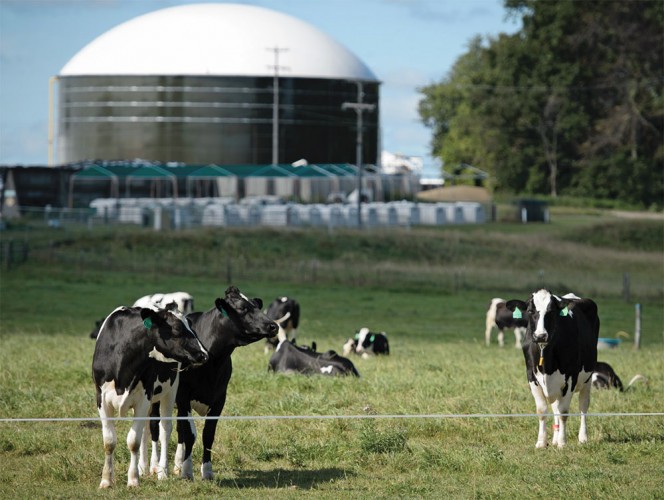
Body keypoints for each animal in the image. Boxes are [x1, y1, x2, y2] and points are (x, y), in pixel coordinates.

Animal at [89, 306, 206, 486]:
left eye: (191, 328)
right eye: (177, 330)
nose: (204, 354)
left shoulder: (143, 398)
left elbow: (133, 441)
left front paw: (133, 480)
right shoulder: (101, 399)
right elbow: (109, 441)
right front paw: (107, 480)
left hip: (170, 391)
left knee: (165, 429)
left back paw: (162, 471)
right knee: (146, 430)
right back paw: (144, 467)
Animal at [145, 288, 278, 482]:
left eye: (256, 305)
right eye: (243, 308)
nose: (273, 326)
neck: (213, 359)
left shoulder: (220, 398)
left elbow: (207, 434)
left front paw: (206, 471)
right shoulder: (183, 396)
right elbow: (190, 434)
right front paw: (187, 471)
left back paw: (176, 465)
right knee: (155, 426)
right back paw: (154, 466)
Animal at [506, 290, 600, 450]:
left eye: (551, 311)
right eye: (530, 311)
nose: (540, 335)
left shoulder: (571, 377)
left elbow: (563, 412)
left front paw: (562, 442)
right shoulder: (531, 376)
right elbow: (542, 410)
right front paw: (542, 442)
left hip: (587, 378)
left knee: (583, 406)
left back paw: (583, 437)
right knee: (555, 407)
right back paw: (555, 438)